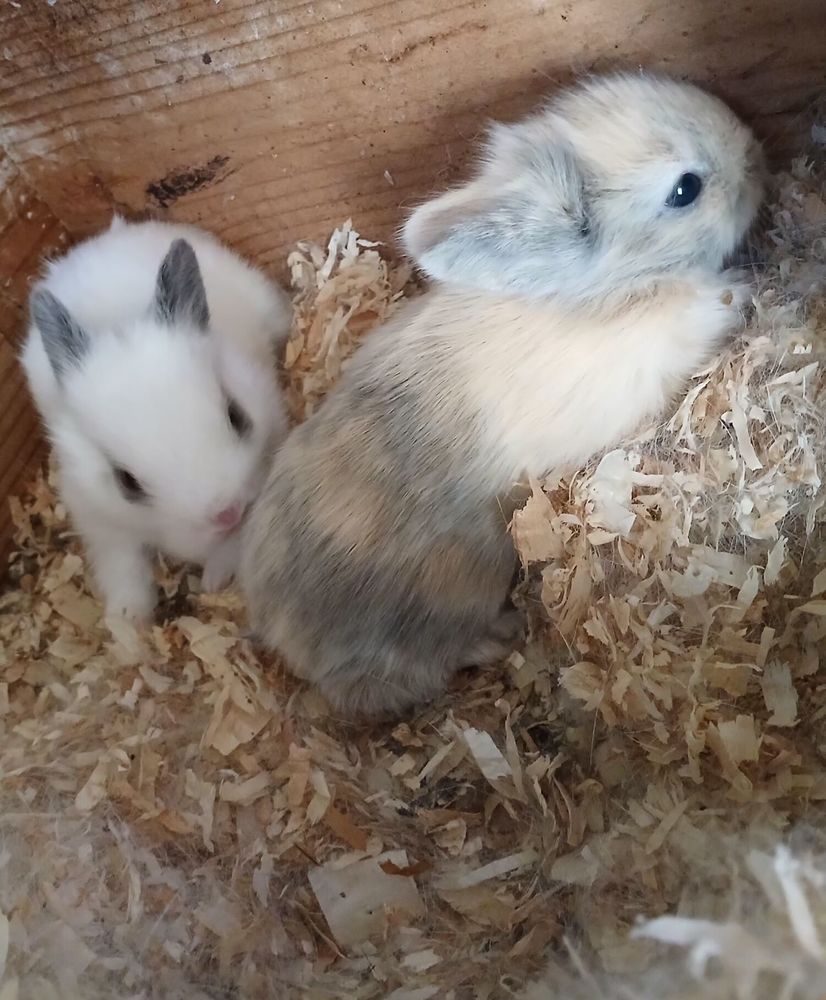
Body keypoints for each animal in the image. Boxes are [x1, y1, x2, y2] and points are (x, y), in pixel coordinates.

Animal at [21, 216, 292, 622]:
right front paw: (127, 622)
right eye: (126, 481)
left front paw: (214, 580)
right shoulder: (97, 516)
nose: (226, 514)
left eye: (237, 415)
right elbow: (123, 566)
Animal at [240, 72, 766, 719]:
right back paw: (500, 636)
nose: (756, 151)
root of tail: (283, 636)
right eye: (685, 189)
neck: (606, 291)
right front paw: (739, 292)